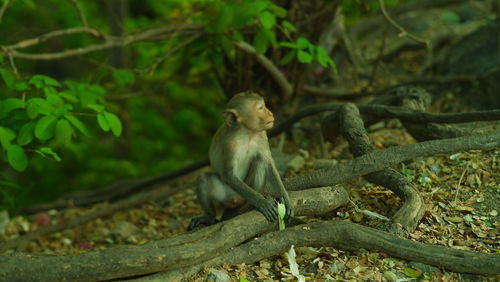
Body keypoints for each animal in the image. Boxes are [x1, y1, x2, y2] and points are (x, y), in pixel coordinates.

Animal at [189, 91, 294, 229]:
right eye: (261, 108)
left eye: (264, 106)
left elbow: (268, 163)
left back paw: (251, 205)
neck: (247, 134)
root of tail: (235, 200)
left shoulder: (261, 135)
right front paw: (262, 202)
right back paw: (209, 216)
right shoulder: (229, 144)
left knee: (259, 161)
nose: (270, 113)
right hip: (225, 196)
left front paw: (286, 200)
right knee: (203, 179)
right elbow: (228, 175)